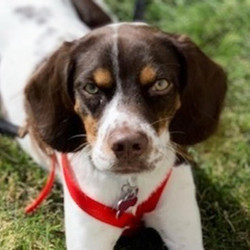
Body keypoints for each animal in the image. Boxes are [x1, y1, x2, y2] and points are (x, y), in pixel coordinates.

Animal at [0, 0, 227, 250]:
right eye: (91, 88)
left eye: (161, 84)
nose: (127, 145)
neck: (130, 185)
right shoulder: (88, 240)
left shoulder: (183, 229)